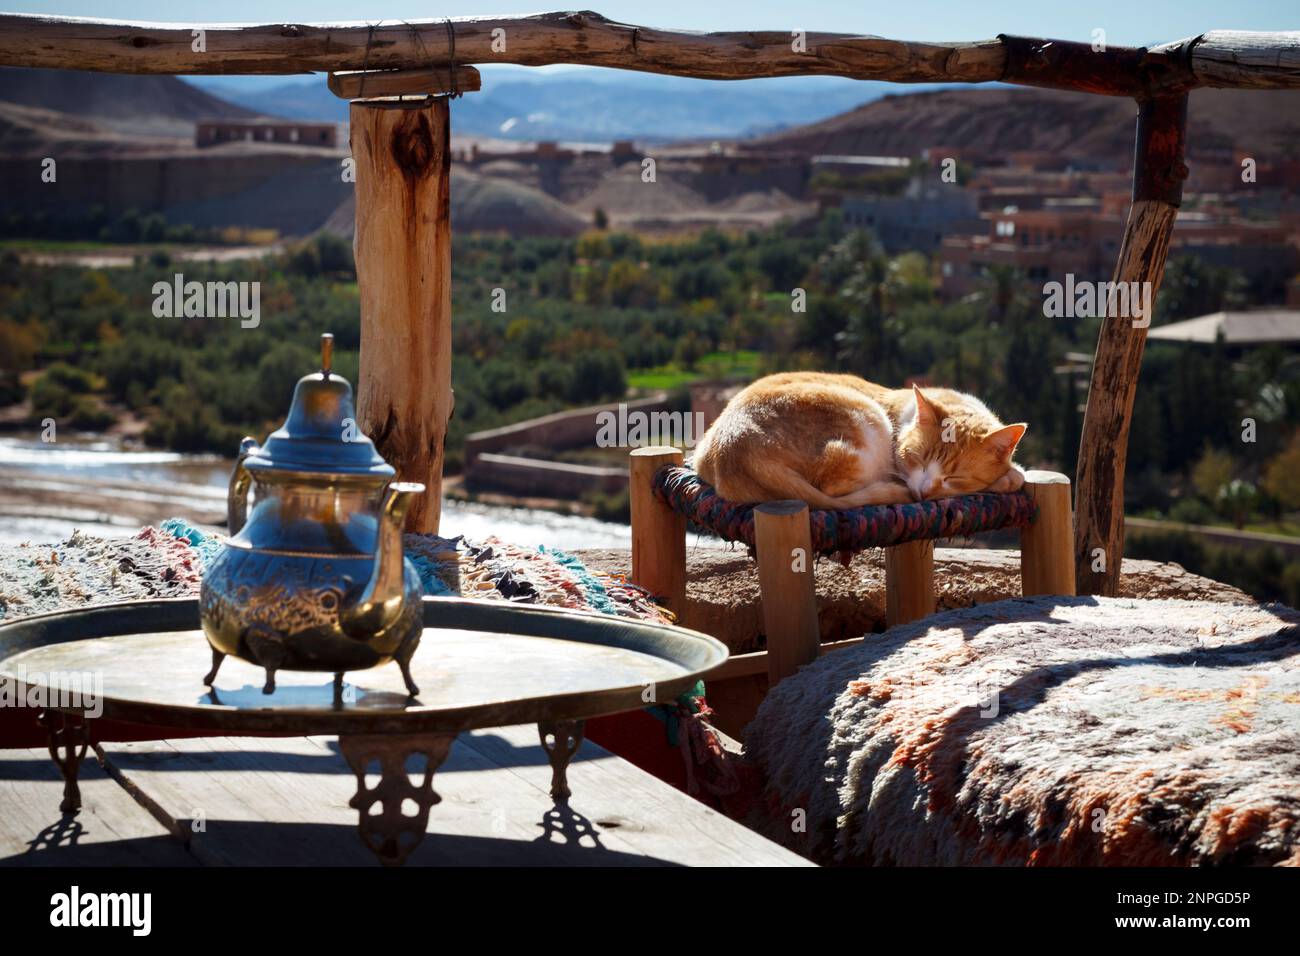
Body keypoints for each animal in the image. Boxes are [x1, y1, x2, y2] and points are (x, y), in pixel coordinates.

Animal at [691, 371, 1024, 509]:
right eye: (916, 459)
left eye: (954, 476)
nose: (925, 491)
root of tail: (732, 448)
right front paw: (1007, 478)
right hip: (865, 416)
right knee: (835, 489)